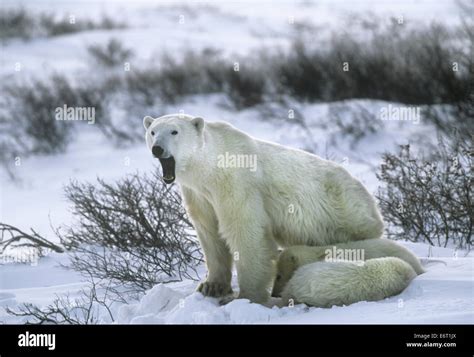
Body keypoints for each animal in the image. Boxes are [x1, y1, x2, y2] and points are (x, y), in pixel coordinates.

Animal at [143, 113, 414, 304]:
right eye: (152, 131)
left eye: (174, 131)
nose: (157, 148)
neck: (209, 167)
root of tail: (373, 206)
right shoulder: (199, 193)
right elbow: (209, 232)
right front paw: (211, 286)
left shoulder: (236, 182)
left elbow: (246, 231)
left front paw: (246, 297)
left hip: (346, 215)